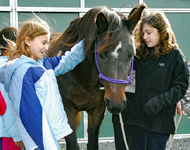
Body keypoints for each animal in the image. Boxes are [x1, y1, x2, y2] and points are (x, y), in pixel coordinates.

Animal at [47, 3, 145, 150]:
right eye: (101, 54)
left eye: (131, 55)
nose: (117, 103)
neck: (84, 80)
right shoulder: (67, 110)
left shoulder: (97, 110)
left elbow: (93, 144)